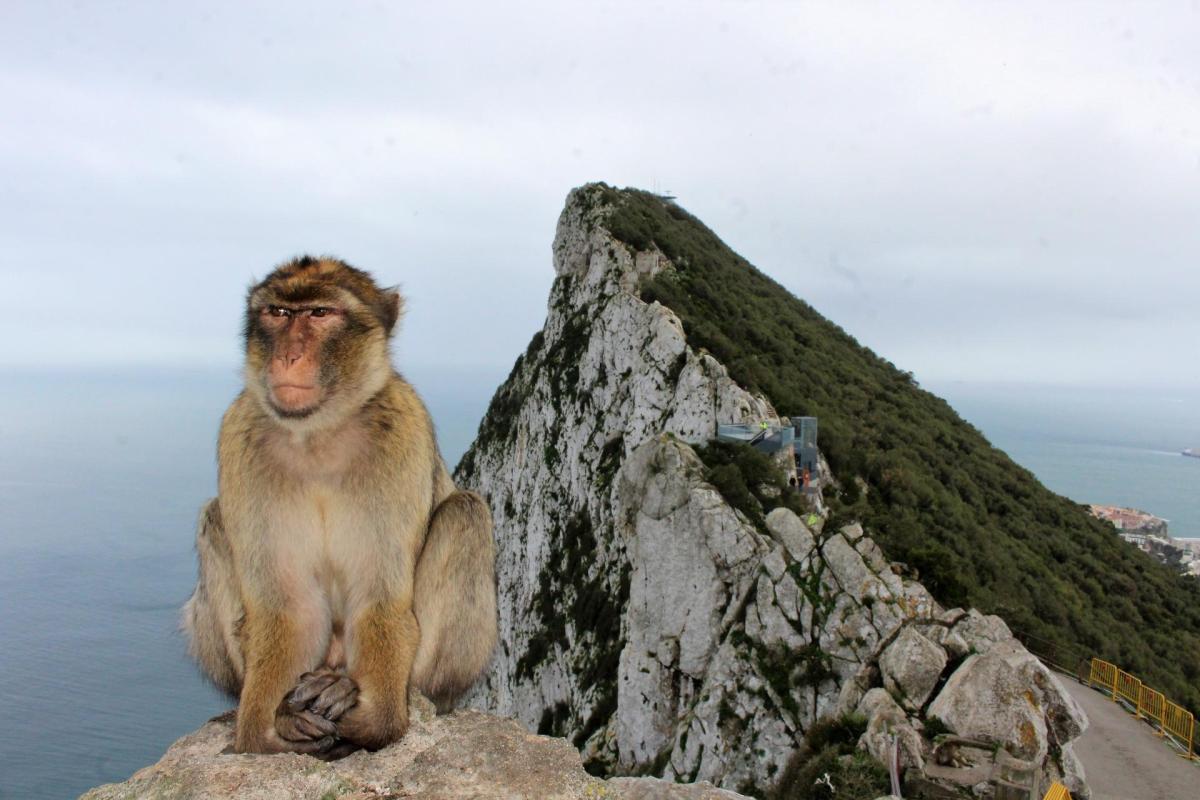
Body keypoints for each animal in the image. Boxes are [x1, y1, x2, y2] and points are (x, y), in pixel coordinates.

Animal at [181, 256, 497, 757]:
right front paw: (272, 729)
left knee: (464, 512)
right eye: (277, 312)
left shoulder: (401, 430)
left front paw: (371, 721)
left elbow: (380, 600)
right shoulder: (240, 433)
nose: (287, 357)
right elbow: (289, 609)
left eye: (319, 313)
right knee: (214, 519)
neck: (317, 435)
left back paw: (359, 688)